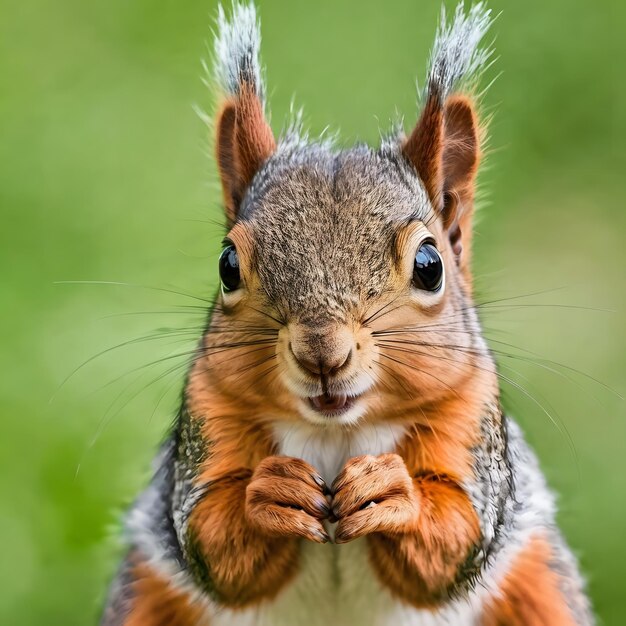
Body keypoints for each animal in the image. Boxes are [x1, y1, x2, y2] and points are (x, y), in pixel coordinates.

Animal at [100, 4, 592, 624]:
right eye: (227, 265)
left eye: (430, 265)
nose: (322, 353)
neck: (338, 433)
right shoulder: (206, 414)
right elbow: (210, 539)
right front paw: (269, 492)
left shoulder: (472, 417)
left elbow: (456, 539)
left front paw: (394, 493)